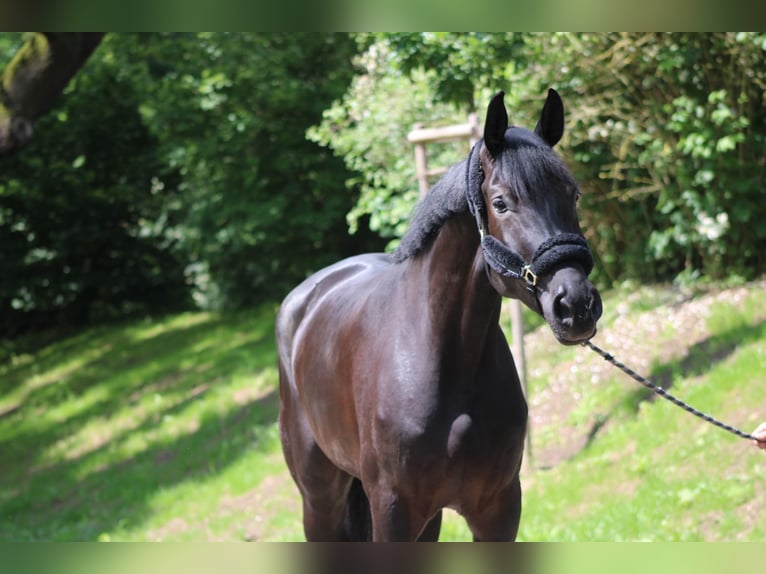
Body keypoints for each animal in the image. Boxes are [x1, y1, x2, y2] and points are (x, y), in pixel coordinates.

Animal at [280, 88, 604, 544]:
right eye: (501, 203)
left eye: (572, 195)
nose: (575, 305)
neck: (447, 361)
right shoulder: (392, 513)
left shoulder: (498, 509)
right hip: (320, 500)